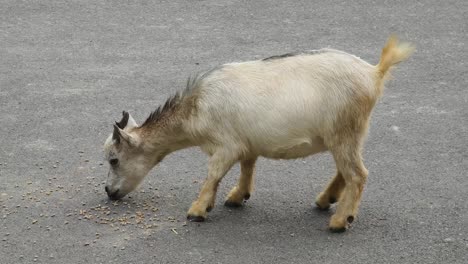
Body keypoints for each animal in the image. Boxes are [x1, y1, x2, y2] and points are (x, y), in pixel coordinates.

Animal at [103, 35, 414, 231]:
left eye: (114, 159)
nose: (108, 191)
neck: (196, 108)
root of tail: (374, 73)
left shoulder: (225, 146)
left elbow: (213, 174)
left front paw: (197, 210)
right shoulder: (245, 144)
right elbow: (247, 166)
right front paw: (236, 196)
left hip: (344, 130)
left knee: (357, 175)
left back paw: (340, 221)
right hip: (348, 134)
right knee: (346, 171)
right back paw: (327, 200)